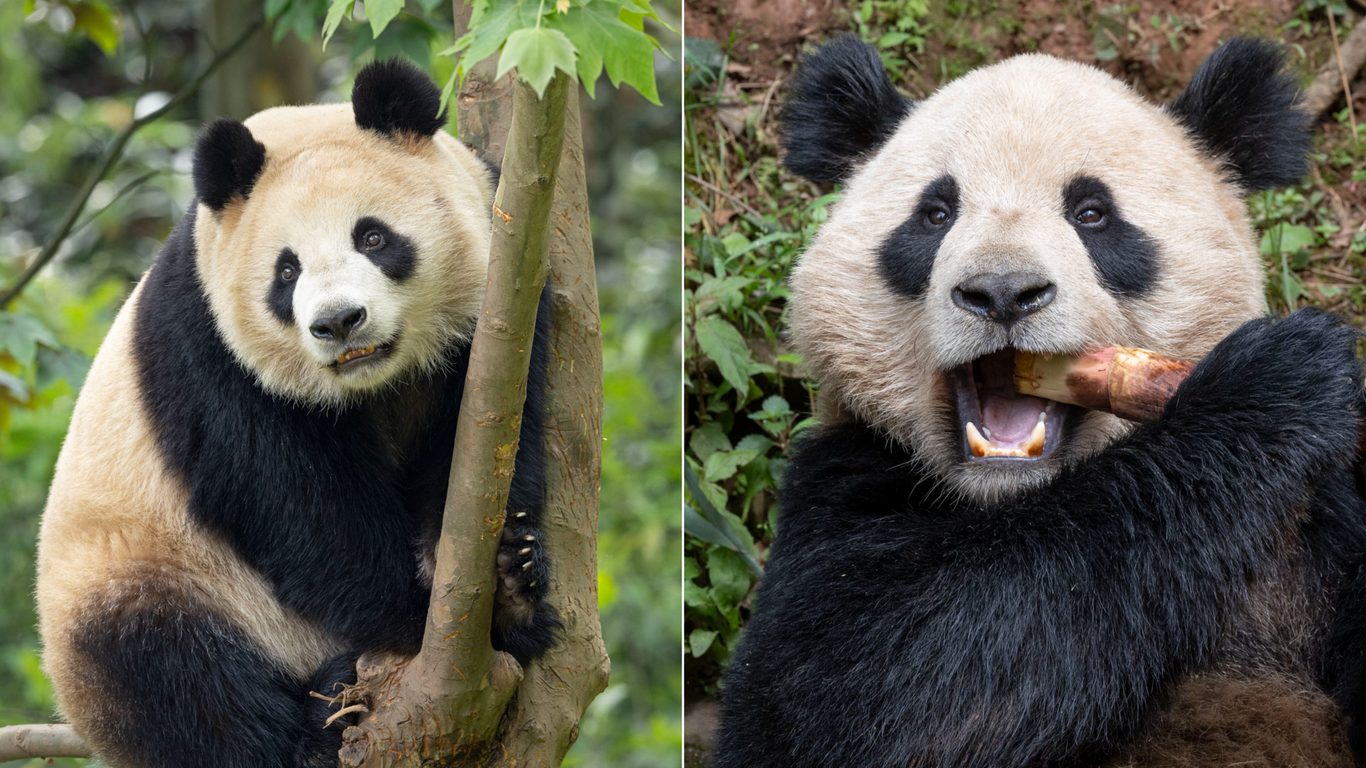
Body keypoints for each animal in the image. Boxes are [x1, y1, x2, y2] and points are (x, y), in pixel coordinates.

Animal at [37, 59, 560, 765]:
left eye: (373, 236)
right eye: (286, 272)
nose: (338, 322)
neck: (375, 385)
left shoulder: (505, 295)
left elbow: (485, 443)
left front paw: (507, 582)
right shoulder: (209, 347)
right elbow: (298, 504)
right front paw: (416, 614)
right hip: (140, 570)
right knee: (170, 674)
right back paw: (318, 723)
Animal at [710, 32, 1366, 759]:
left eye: (1092, 214)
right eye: (935, 214)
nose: (1002, 292)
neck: (1015, 501)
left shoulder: (1318, 527)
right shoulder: (841, 480)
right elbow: (875, 688)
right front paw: (1272, 381)